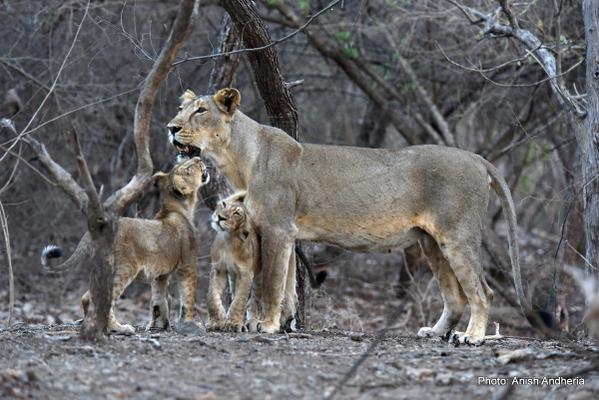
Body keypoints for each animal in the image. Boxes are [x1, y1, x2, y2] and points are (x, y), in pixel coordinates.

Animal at [166, 87, 532, 344]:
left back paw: (472, 337)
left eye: (201, 110)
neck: (240, 157)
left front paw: (264, 325)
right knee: (455, 297)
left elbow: (269, 281)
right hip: (431, 243)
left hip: (457, 237)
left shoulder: (277, 228)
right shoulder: (286, 232)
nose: (170, 127)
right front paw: (284, 323)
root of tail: (476, 158)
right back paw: (435, 332)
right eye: (181, 109)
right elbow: (287, 284)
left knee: (482, 292)